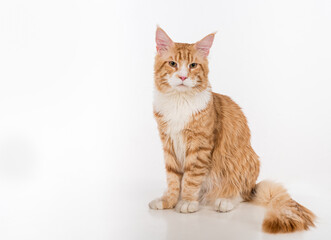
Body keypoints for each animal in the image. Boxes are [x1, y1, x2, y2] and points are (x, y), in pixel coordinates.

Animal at [148, 27, 316, 233]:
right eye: (173, 64)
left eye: (193, 65)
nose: (183, 77)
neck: (179, 101)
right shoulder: (168, 142)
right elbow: (173, 179)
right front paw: (169, 201)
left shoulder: (200, 145)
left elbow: (191, 178)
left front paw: (187, 201)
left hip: (241, 160)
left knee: (242, 194)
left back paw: (224, 201)